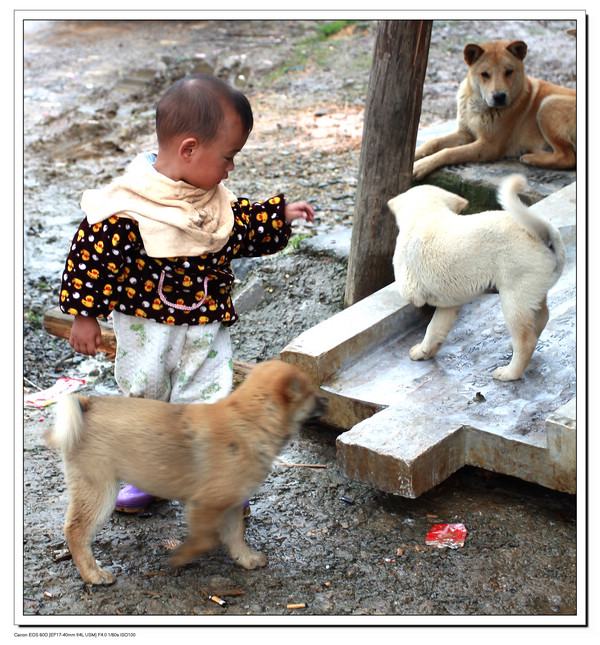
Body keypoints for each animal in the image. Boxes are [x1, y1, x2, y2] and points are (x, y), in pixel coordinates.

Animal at [45, 360, 328, 588]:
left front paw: (245, 558)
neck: (250, 420)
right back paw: (93, 574)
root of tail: (86, 404)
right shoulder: (207, 505)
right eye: (310, 392)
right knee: (76, 531)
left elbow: (236, 534)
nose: (326, 401)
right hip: (100, 491)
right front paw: (181, 556)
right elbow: (206, 538)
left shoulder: (231, 503)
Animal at [390, 174, 568, 380]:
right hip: (532, 292)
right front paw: (424, 351)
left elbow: (423, 310)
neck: (427, 214)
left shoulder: (411, 288)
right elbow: (435, 329)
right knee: (541, 319)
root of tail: (544, 236)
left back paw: (509, 373)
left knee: (526, 340)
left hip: (513, 298)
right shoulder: (450, 304)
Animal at [412, 39, 576, 180]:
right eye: (485, 74)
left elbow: (449, 152)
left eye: (509, 71)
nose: (499, 97)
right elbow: (433, 142)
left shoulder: (488, 147)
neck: (478, 105)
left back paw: (531, 158)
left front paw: (420, 166)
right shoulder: (465, 133)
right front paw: (415, 155)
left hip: (547, 105)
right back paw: (529, 151)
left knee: (567, 157)